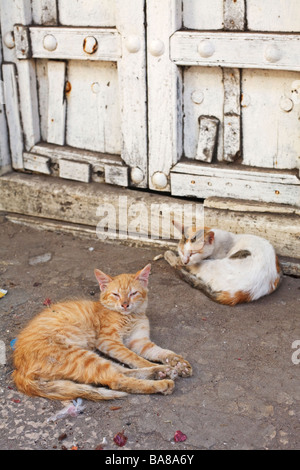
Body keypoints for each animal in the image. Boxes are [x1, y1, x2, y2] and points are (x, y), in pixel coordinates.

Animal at [12, 264, 191, 400]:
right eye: (116, 294)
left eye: (133, 293)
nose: (125, 304)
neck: (131, 315)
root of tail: (19, 370)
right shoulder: (108, 341)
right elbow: (135, 358)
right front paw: (156, 365)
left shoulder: (139, 341)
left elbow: (160, 352)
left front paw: (178, 362)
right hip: (82, 357)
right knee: (116, 380)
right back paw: (161, 382)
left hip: (89, 357)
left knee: (121, 371)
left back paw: (161, 371)